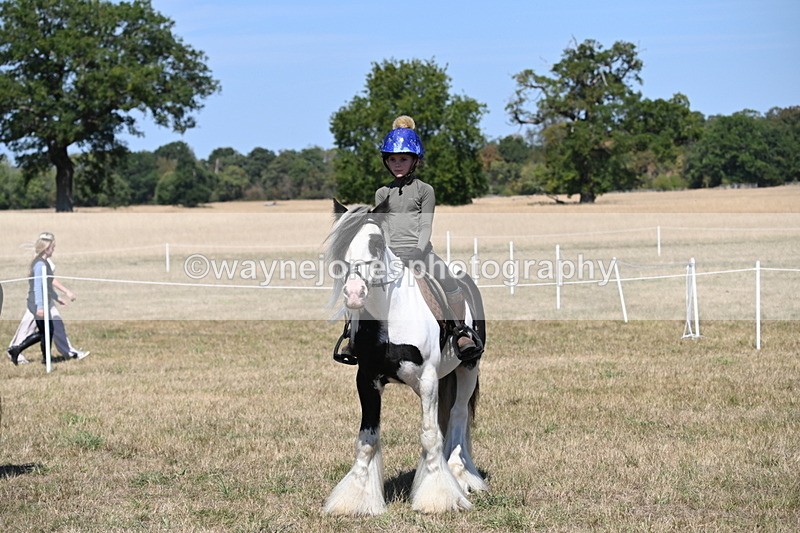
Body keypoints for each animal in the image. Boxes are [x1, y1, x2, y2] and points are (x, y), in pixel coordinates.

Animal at [322, 199, 488, 515]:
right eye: (341, 245)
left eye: (376, 243)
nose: (354, 293)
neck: (390, 315)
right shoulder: (367, 380)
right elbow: (367, 439)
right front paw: (357, 499)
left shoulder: (427, 381)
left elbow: (429, 434)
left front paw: (438, 497)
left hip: (468, 368)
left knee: (458, 416)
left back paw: (460, 475)